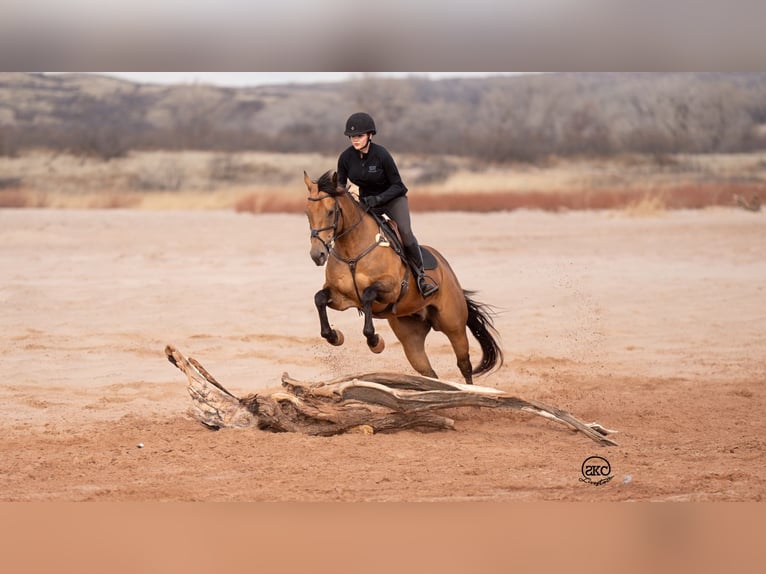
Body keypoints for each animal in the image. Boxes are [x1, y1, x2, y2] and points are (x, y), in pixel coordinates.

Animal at [306, 171, 504, 388]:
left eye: (331, 211)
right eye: (308, 213)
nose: (317, 255)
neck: (352, 251)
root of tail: (448, 271)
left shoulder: (391, 289)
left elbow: (367, 295)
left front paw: (375, 342)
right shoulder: (340, 297)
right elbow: (319, 298)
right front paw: (334, 336)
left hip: (454, 326)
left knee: (464, 365)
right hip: (411, 338)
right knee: (428, 372)